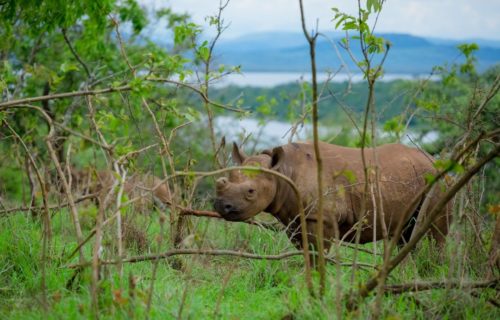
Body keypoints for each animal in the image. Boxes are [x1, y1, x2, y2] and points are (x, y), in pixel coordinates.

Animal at [213, 142, 452, 250]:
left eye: (250, 192)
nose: (222, 206)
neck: (283, 173)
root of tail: (433, 159)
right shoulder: (295, 218)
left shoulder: (322, 218)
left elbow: (318, 254)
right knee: (405, 234)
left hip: (438, 181)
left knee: (436, 233)